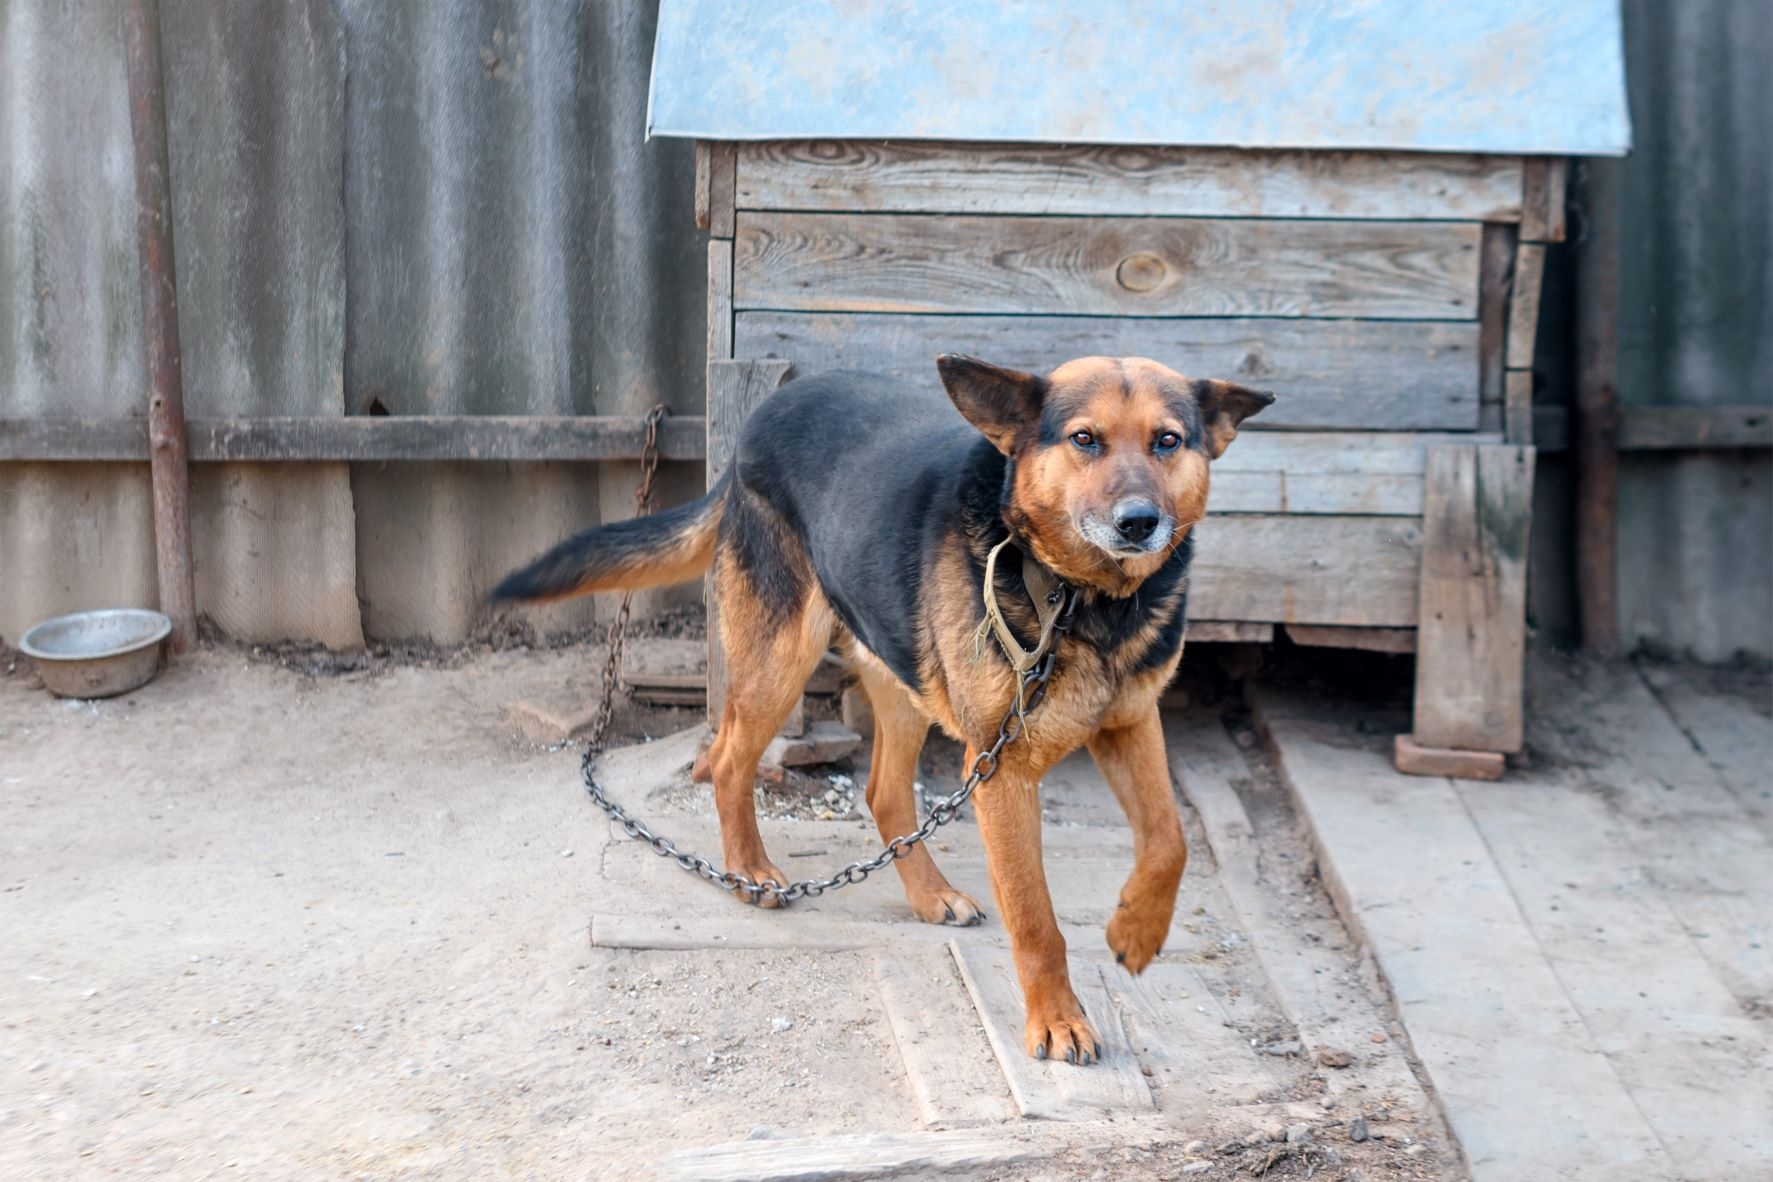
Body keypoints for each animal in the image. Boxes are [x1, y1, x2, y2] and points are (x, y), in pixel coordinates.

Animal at [496, 356, 1276, 1070]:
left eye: (1168, 441)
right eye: (1085, 439)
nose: (1139, 523)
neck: (1084, 601)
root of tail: (764, 415)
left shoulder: (1130, 722)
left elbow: (1170, 840)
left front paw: (1136, 932)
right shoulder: (1001, 770)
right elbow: (1035, 919)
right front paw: (1057, 1019)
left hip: (903, 683)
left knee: (880, 791)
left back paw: (928, 894)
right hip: (784, 658)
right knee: (727, 760)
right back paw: (751, 871)